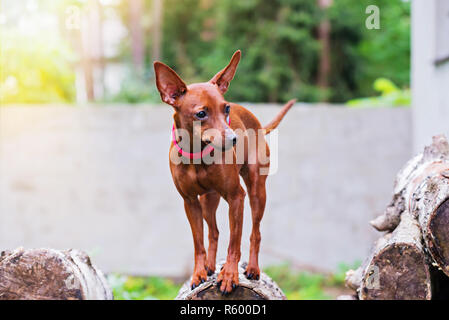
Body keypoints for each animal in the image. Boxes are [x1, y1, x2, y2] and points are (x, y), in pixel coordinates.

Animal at [154, 50, 294, 296]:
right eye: (201, 113)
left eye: (226, 109)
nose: (234, 139)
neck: (197, 154)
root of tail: (257, 122)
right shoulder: (190, 202)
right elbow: (198, 243)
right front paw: (199, 273)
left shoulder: (237, 197)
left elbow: (234, 243)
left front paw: (229, 275)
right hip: (208, 200)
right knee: (214, 232)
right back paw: (210, 265)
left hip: (256, 192)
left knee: (255, 232)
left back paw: (253, 268)